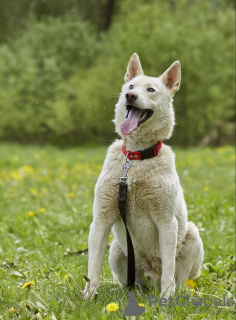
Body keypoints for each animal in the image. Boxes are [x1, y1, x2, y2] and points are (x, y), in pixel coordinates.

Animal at [84, 52, 204, 298]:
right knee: (131, 283)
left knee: (177, 278)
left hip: (193, 235)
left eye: (150, 89)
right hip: (117, 250)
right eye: (130, 86)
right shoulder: (100, 219)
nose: (130, 96)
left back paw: (175, 293)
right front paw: (88, 297)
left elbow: (169, 267)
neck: (136, 158)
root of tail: (151, 278)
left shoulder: (166, 221)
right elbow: (92, 268)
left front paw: (166, 299)